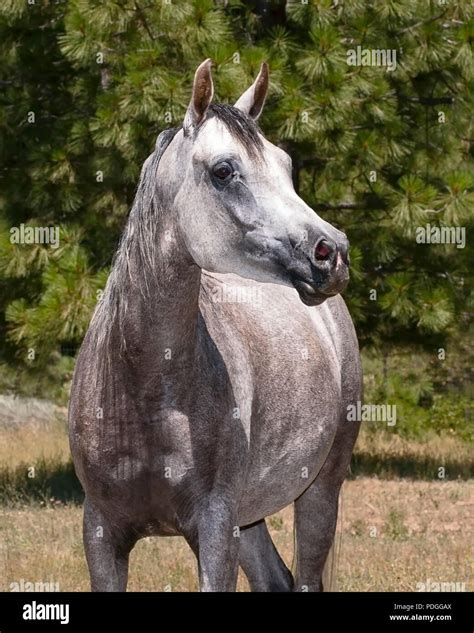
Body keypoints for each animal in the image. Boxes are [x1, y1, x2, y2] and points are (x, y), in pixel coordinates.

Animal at [68, 59, 362, 592]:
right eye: (224, 171)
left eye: (285, 165)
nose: (331, 253)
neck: (140, 385)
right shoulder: (100, 532)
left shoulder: (214, 528)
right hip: (250, 519)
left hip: (319, 491)